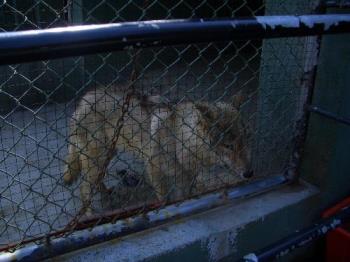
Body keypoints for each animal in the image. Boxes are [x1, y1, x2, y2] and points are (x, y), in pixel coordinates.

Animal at [63, 87, 253, 214]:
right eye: (228, 146)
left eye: (245, 140)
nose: (250, 173)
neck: (180, 140)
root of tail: (83, 101)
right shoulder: (154, 170)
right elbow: (164, 199)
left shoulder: (186, 177)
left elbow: (185, 196)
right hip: (97, 158)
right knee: (84, 188)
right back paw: (90, 214)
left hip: (107, 155)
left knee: (96, 180)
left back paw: (106, 192)